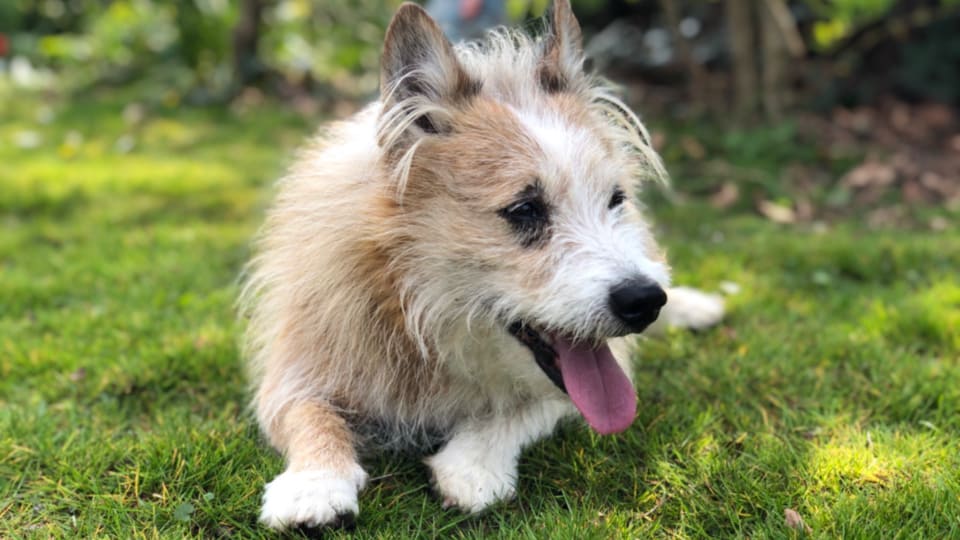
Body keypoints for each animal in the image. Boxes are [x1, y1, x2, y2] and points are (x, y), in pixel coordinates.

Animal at [240, 1, 720, 532]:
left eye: (616, 200)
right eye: (525, 210)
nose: (646, 301)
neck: (419, 320)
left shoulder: (566, 389)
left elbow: (527, 406)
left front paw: (472, 464)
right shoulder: (297, 367)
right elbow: (310, 414)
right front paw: (316, 482)